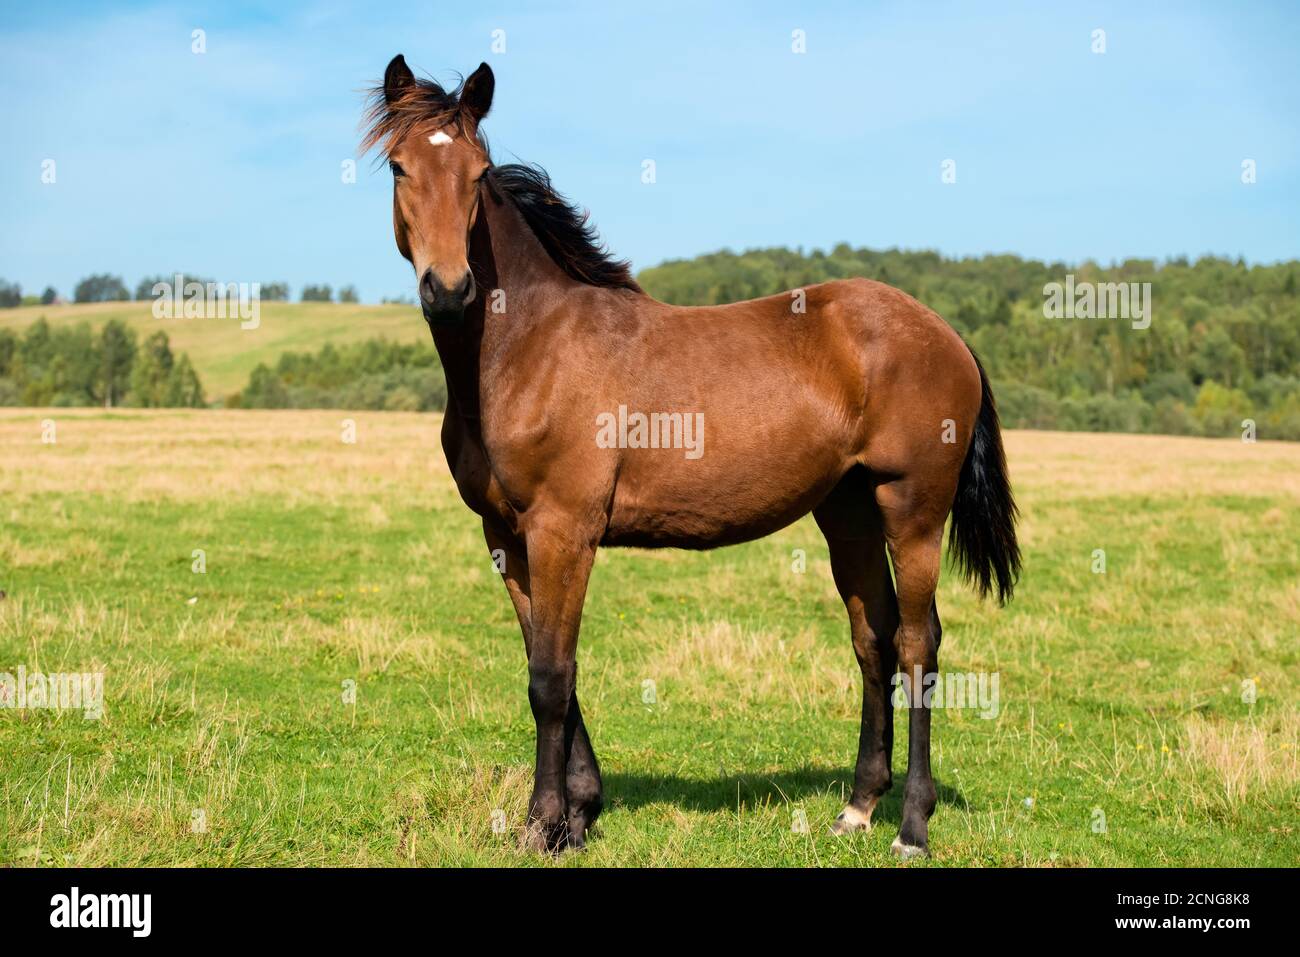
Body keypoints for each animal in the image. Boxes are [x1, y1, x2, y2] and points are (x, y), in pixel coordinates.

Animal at [364, 55, 1013, 858]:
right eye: (399, 166)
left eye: (479, 175)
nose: (450, 290)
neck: (529, 347)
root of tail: (944, 332)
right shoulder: (507, 535)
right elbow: (548, 665)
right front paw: (579, 814)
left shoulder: (563, 530)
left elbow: (550, 677)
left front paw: (543, 824)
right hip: (849, 511)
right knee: (876, 639)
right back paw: (858, 806)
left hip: (912, 506)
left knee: (921, 644)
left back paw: (912, 827)